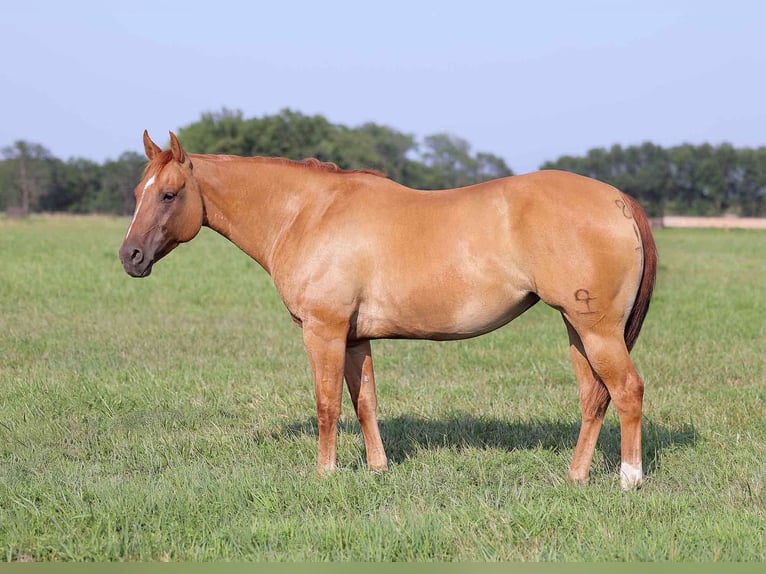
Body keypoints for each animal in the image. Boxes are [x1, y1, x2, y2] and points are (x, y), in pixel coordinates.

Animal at [119, 131, 657, 490]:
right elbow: (365, 403)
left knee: (627, 391)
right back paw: (575, 477)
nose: (130, 257)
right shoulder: (356, 337)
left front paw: (325, 473)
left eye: (169, 194)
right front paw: (377, 468)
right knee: (594, 397)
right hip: (577, 331)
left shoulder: (324, 331)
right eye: (137, 193)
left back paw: (629, 479)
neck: (307, 213)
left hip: (598, 331)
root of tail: (619, 200)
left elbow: (327, 404)